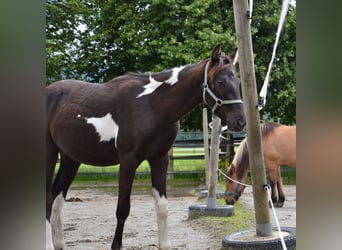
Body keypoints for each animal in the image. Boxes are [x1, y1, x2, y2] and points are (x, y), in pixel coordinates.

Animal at [46, 44, 247, 249]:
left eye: (237, 80)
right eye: (220, 81)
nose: (240, 121)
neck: (152, 105)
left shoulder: (160, 159)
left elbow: (162, 206)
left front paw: (165, 244)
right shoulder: (128, 162)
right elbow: (123, 208)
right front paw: (116, 245)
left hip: (71, 158)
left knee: (57, 197)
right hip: (50, 154)